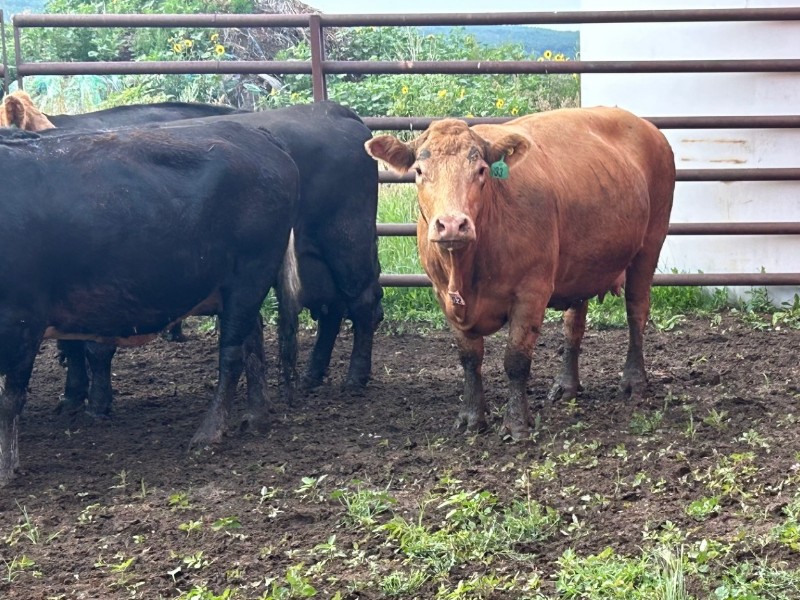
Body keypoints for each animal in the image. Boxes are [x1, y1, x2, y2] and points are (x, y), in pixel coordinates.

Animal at [0, 122, 299, 486]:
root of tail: (255, 133)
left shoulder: (20, 320)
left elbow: (10, 400)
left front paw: (5, 470)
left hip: (250, 274)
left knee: (231, 355)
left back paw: (209, 432)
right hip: (235, 289)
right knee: (252, 340)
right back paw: (255, 417)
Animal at [4, 96, 383, 416]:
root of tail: (330, 110)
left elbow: (93, 348)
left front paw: (94, 403)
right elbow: (74, 347)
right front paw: (73, 397)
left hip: (345, 242)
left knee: (361, 302)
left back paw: (355, 377)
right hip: (315, 259)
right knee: (332, 309)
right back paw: (312, 375)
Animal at [365, 107, 675, 439]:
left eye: (481, 170)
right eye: (420, 171)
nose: (452, 224)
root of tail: (646, 127)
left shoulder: (531, 292)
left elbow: (516, 361)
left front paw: (516, 424)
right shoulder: (443, 295)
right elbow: (469, 358)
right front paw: (471, 417)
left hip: (650, 244)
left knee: (636, 310)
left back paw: (633, 382)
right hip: (581, 267)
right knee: (574, 325)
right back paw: (566, 386)